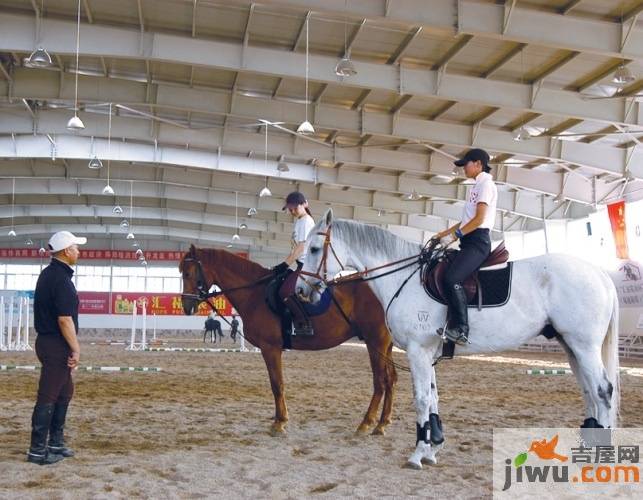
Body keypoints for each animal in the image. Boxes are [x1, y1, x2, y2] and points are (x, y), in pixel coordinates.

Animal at [179, 246, 394, 434]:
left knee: (380, 383)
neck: (255, 293)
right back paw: (382, 424)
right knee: (391, 380)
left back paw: (366, 423)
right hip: (386, 346)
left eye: (188, 274)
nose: (187, 306)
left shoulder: (270, 348)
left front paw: (279, 422)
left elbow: (277, 384)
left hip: (375, 342)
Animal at [296, 210, 620, 468]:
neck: (406, 279)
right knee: (589, 392)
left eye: (314, 248)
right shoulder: (427, 353)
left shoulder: (417, 351)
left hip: (584, 346)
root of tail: (601, 274)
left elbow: (421, 399)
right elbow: (433, 397)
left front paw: (418, 454)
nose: (300, 290)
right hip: (570, 346)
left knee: (602, 391)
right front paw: (432, 449)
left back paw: (600, 453)